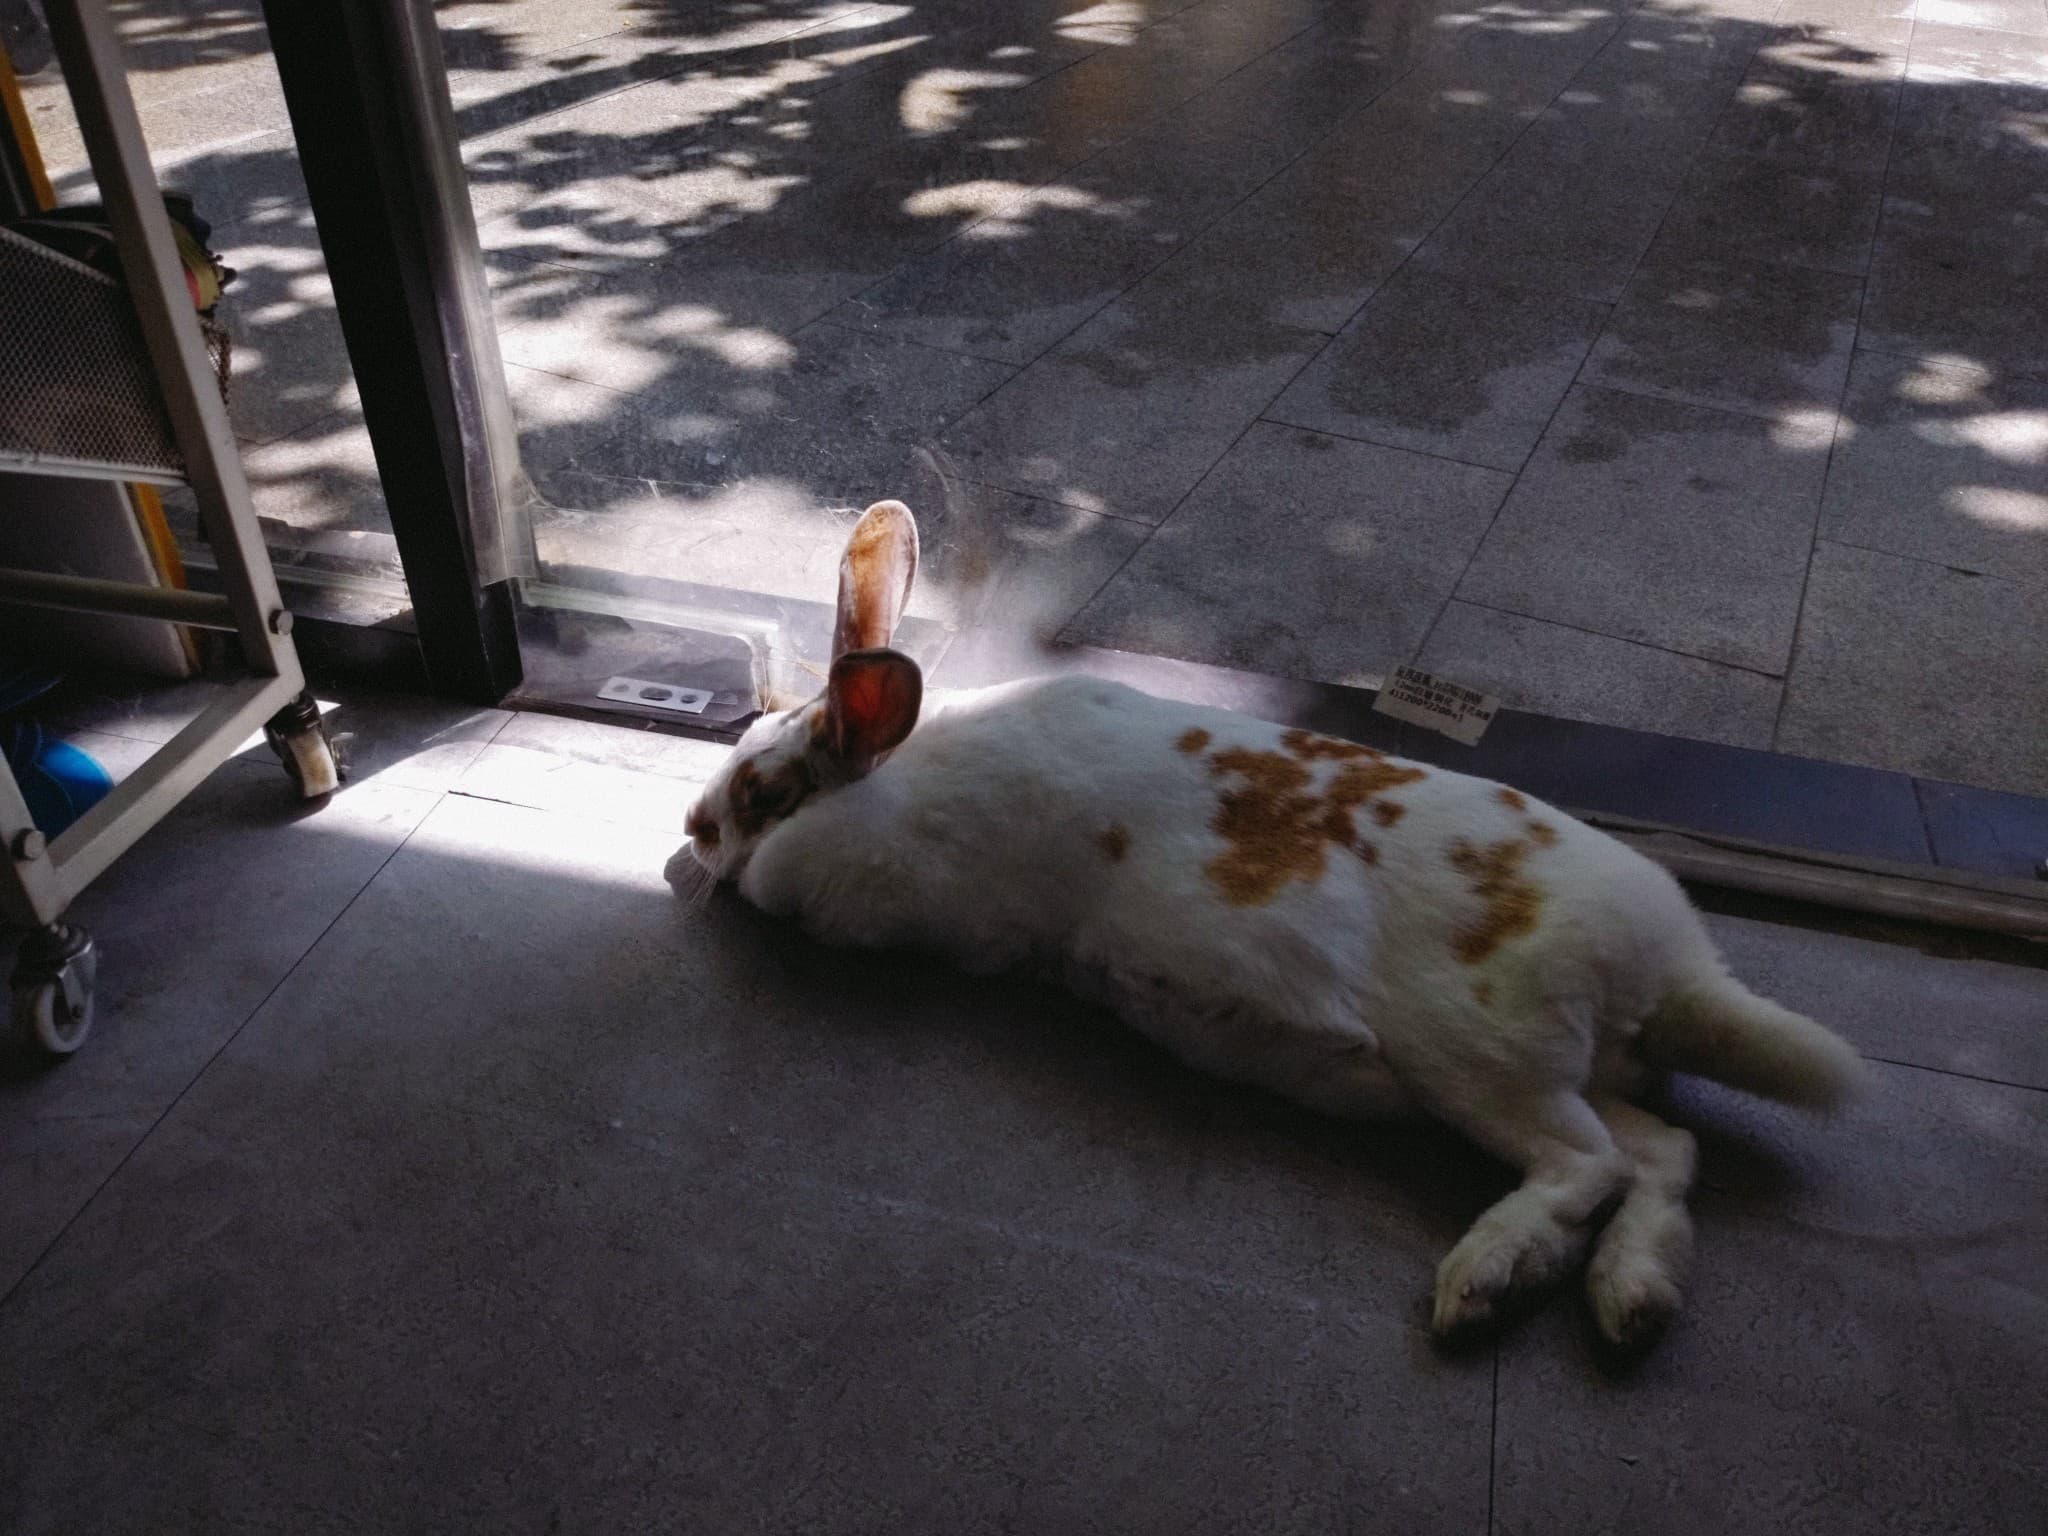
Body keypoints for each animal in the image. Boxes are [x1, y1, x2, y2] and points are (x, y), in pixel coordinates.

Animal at [671, 500, 1864, 1349]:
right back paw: (1632, 1301)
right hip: (1566, 1072)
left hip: (1482, 1060)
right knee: (1663, 1153)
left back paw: (1482, 1282)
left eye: (762, 793)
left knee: (1588, 1165)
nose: (687, 831)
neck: (892, 777)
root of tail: (1672, 974)